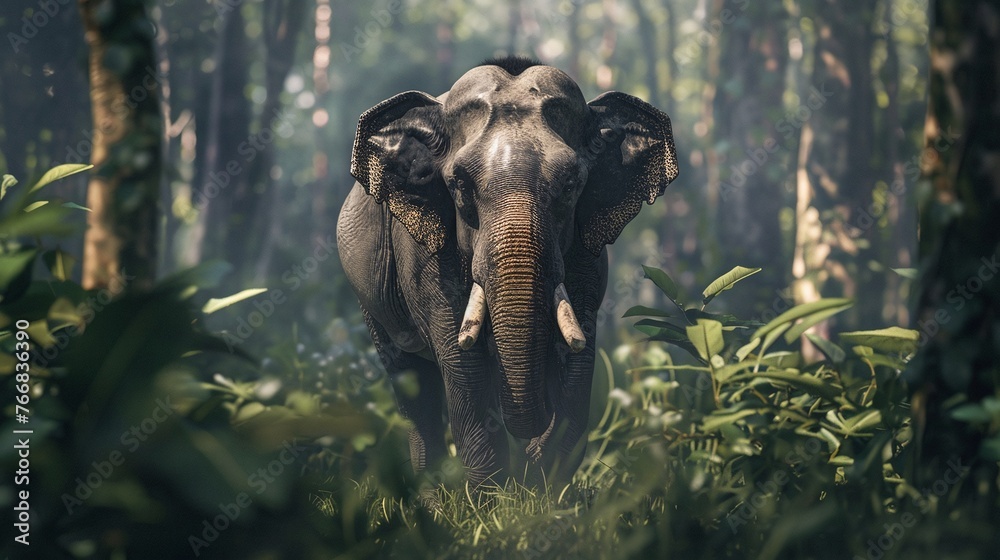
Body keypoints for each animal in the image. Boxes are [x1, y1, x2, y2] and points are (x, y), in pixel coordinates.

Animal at [337, 56, 678, 488]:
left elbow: (578, 360)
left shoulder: (586, 251)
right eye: (459, 185)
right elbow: (460, 360)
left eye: (571, 185)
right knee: (412, 388)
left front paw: (541, 488)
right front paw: (492, 497)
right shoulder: (427, 255)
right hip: (369, 300)